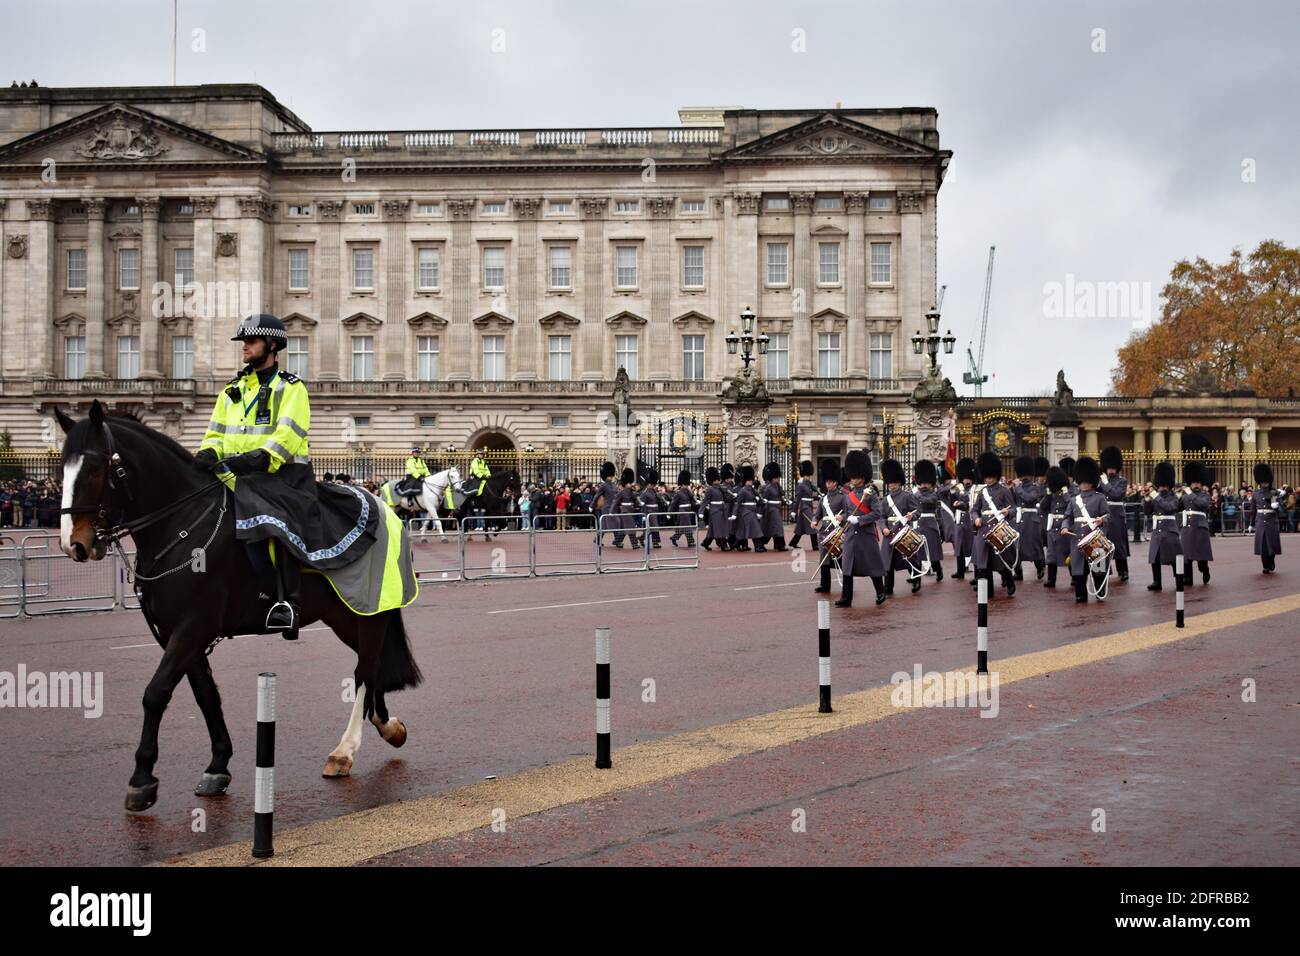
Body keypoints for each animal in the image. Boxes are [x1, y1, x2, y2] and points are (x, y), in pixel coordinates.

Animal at [57, 400, 421, 811]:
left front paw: (142, 779)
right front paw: (218, 765)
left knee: (365, 671)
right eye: (61, 468)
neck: (183, 526)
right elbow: (205, 696)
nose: (75, 544)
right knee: (371, 666)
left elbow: (155, 693)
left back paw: (345, 750)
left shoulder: (193, 627)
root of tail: (384, 507)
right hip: (345, 615)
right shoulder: (177, 634)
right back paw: (387, 727)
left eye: (95, 466)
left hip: (369, 611)